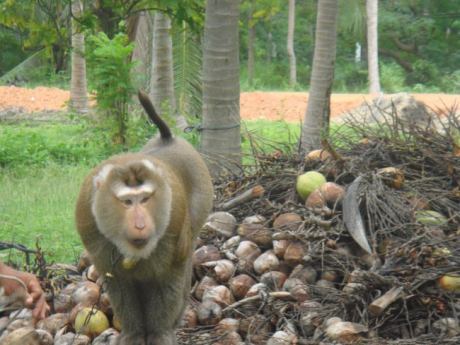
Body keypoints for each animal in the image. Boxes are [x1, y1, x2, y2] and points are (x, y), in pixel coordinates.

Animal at [74, 91, 213, 344]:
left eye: (147, 199)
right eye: (127, 202)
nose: (140, 224)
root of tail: (167, 139)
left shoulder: (174, 223)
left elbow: (167, 280)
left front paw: (159, 333)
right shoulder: (88, 225)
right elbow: (119, 283)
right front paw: (134, 333)